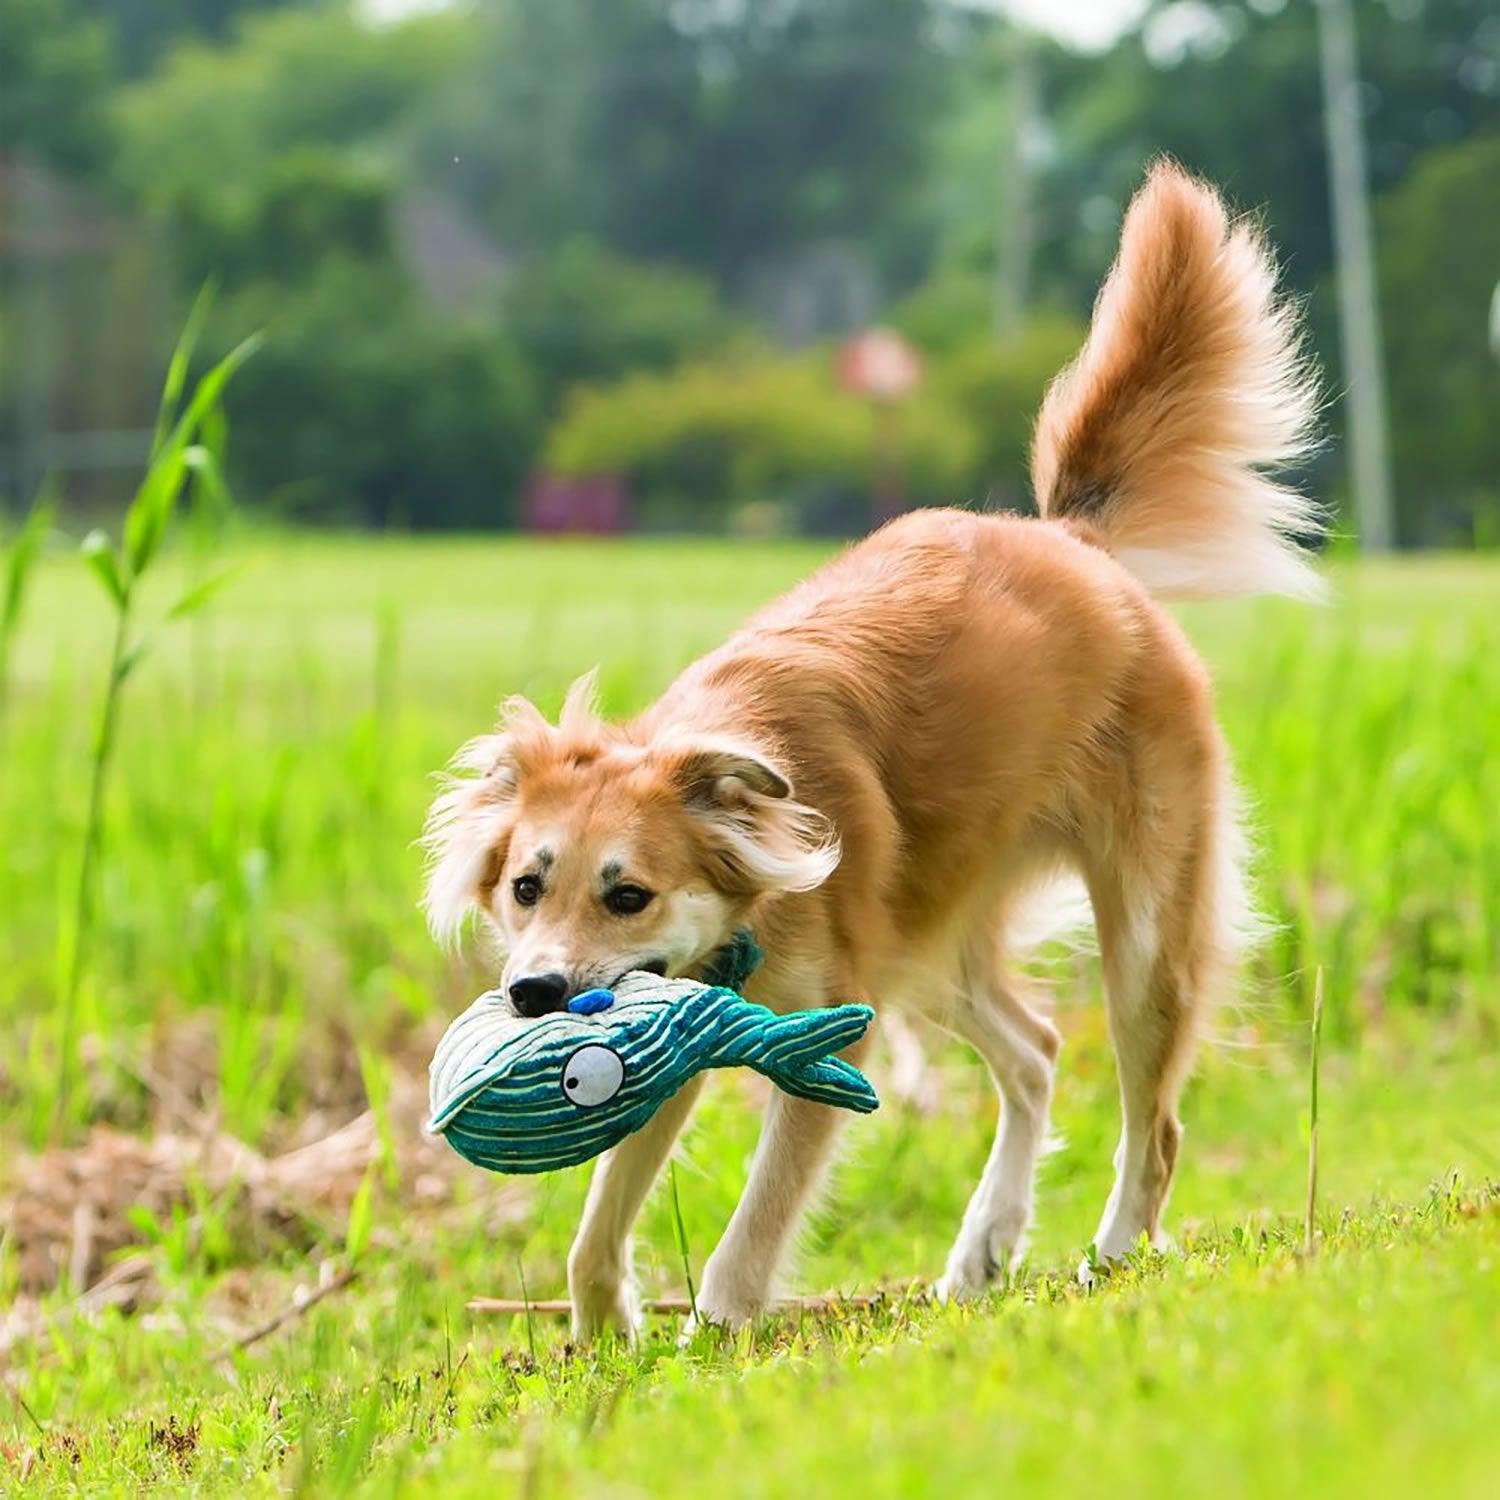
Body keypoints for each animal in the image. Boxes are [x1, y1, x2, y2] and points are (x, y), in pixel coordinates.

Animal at [420, 164, 1314, 1338]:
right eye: (526, 886)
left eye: (628, 895)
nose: (532, 996)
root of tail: (1074, 544)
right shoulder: (679, 1027)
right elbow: (596, 1222)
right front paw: (607, 1330)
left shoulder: (824, 1034)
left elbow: (754, 1226)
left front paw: (716, 1330)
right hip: (925, 943)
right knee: (1035, 1053)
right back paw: (985, 1244)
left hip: (1142, 935)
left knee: (1151, 1126)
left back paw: (1114, 1250)